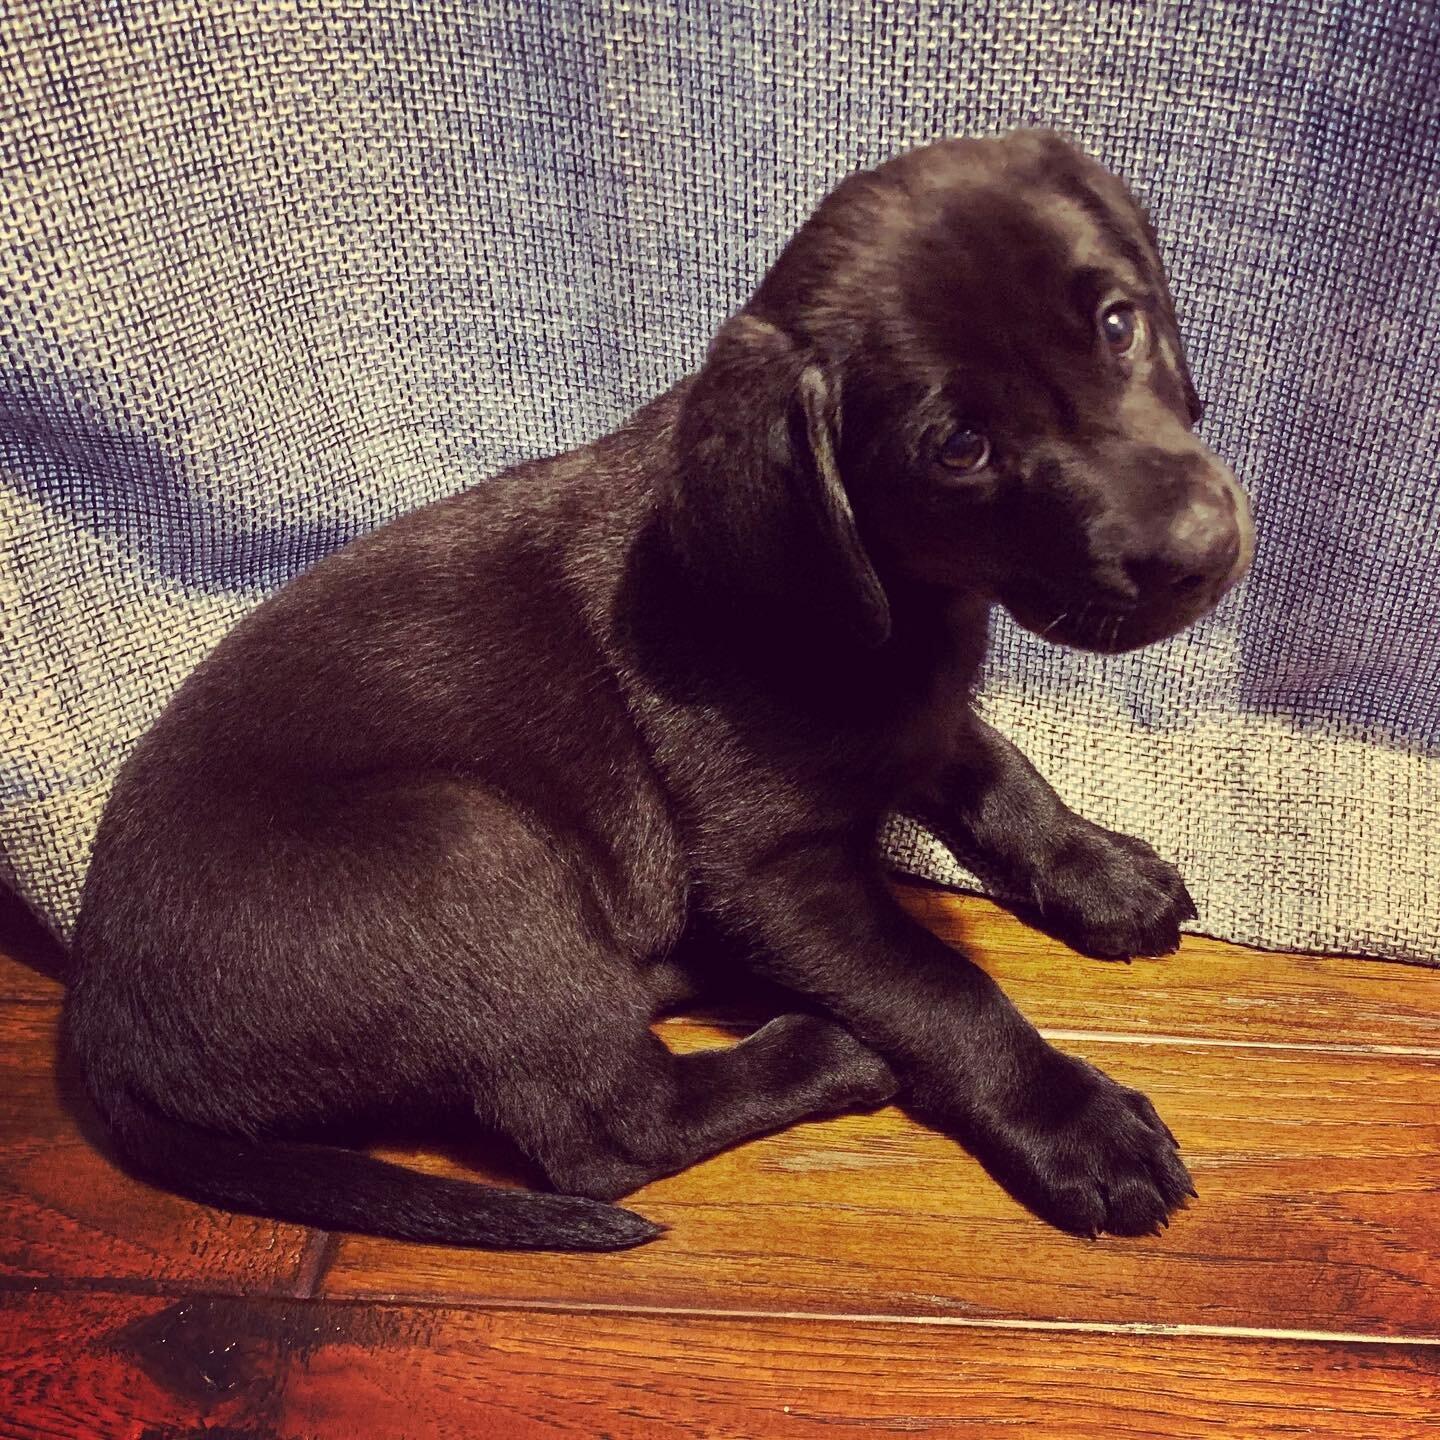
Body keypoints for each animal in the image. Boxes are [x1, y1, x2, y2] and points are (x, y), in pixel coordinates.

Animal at [64, 132, 1249, 1249]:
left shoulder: (919, 718)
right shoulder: (771, 871)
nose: (1200, 553)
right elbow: (941, 988)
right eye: (960, 445)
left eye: (1117, 325)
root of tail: (99, 1032)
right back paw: (819, 1048)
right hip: (463, 845)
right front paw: (1071, 1121)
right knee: (606, 1129)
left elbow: (1004, 778)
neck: (869, 597)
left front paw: (1102, 872)